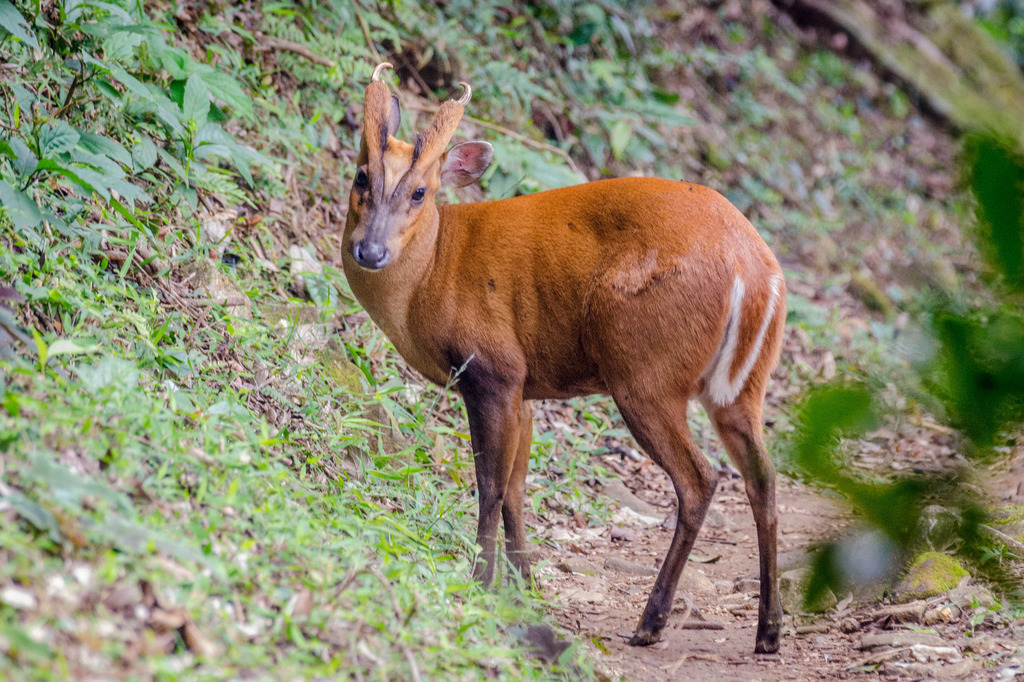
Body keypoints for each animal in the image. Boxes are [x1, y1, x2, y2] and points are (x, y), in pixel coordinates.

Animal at [341, 63, 787, 654]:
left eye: (420, 191)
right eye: (361, 176)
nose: (370, 251)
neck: (433, 273)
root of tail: (756, 272)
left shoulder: (493, 369)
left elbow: (490, 486)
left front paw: (481, 584)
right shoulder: (525, 388)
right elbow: (516, 489)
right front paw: (524, 589)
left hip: (644, 370)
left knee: (701, 478)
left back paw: (651, 622)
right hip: (742, 386)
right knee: (763, 476)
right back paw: (768, 631)